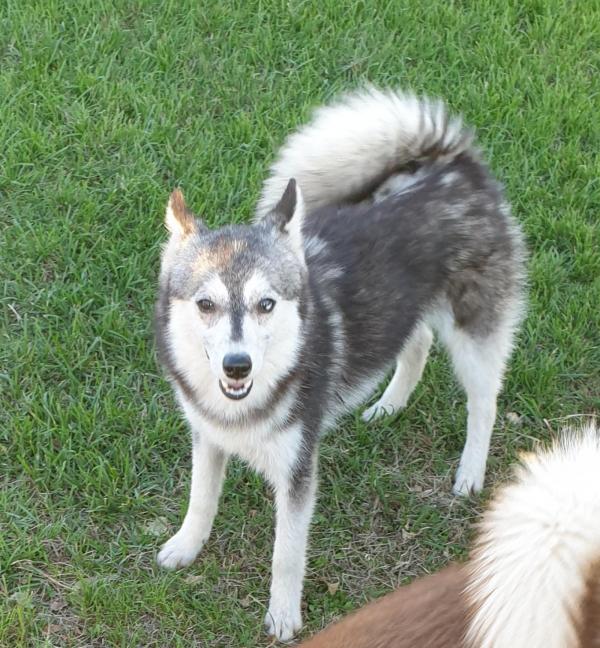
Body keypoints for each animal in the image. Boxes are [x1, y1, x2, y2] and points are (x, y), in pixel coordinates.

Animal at [154, 88, 524, 640]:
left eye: (266, 304)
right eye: (205, 304)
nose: (238, 365)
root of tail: (455, 165)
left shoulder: (298, 467)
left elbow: (286, 553)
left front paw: (283, 615)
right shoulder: (208, 435)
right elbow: (201, 498)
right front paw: (186, 545)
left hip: (473, 331)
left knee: (484, 400)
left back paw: (469, 472)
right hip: (404, 308)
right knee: (414, 343)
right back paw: (389, 405)